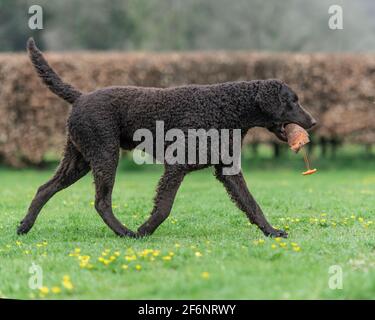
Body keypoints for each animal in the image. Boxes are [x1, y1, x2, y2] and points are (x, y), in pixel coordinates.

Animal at [17, 38, 318, 238]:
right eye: (292, 101)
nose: (314, 122)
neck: (227, 108)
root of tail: (80, 97)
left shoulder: (228, 170)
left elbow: (252, 204)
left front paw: (272, 231)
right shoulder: (176, 166)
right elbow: (164, 207)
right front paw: (144, 231)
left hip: (79, 158)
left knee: (45, 189)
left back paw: (24, 227)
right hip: (104, 155)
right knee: (101, 202)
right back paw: (125, 232)